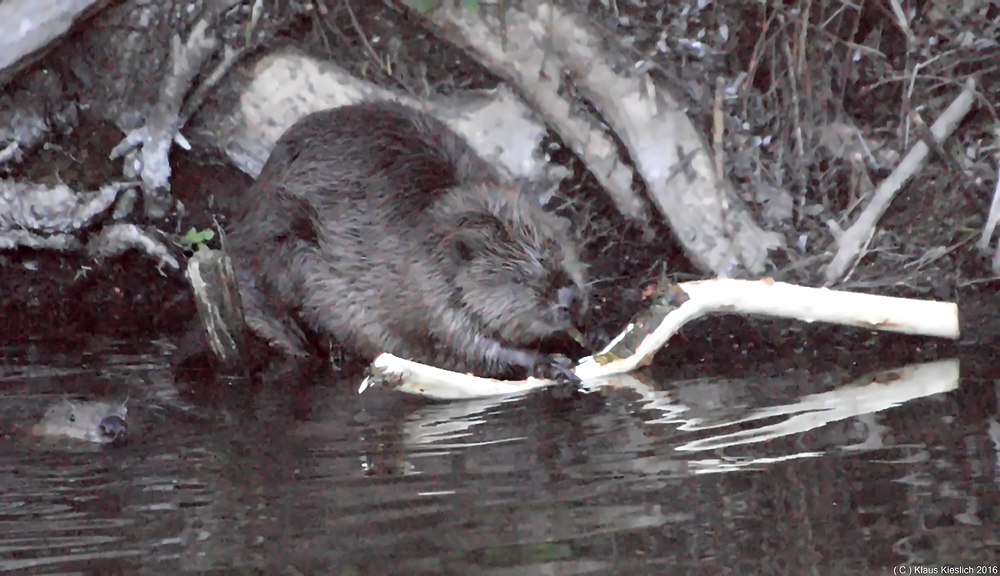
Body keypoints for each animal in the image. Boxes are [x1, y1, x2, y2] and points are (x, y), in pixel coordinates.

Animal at [226, 101, 584, 380]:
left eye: (554, 247)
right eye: (519, 279)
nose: (570, 298)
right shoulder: (431, 298)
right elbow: (469, 346)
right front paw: (549, 363)